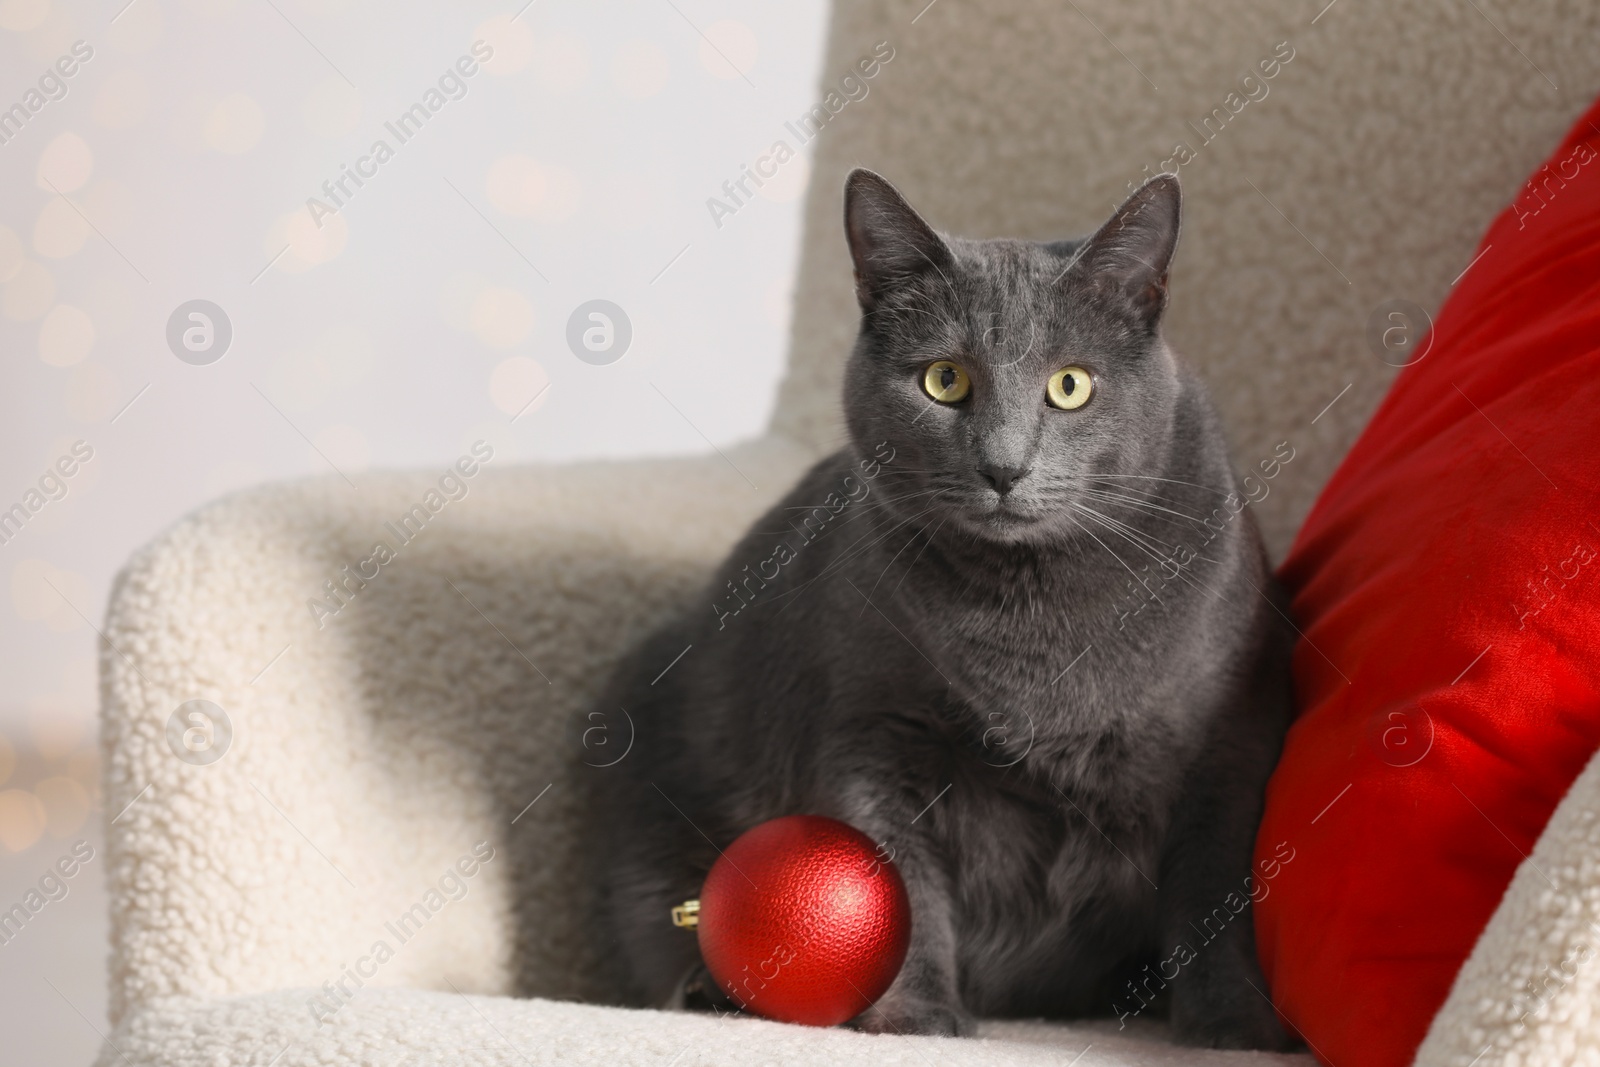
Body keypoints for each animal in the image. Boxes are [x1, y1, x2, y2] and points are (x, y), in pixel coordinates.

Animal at [595, 171, 1292, 1049]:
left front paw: (1237, 1028)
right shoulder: (873, 726)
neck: (1034, 624)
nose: (1004, 466)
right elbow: (900, 875)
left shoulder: (1230, 741)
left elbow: (1212, 893)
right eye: (944, 380)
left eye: (1070, 385)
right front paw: (915, 1018)